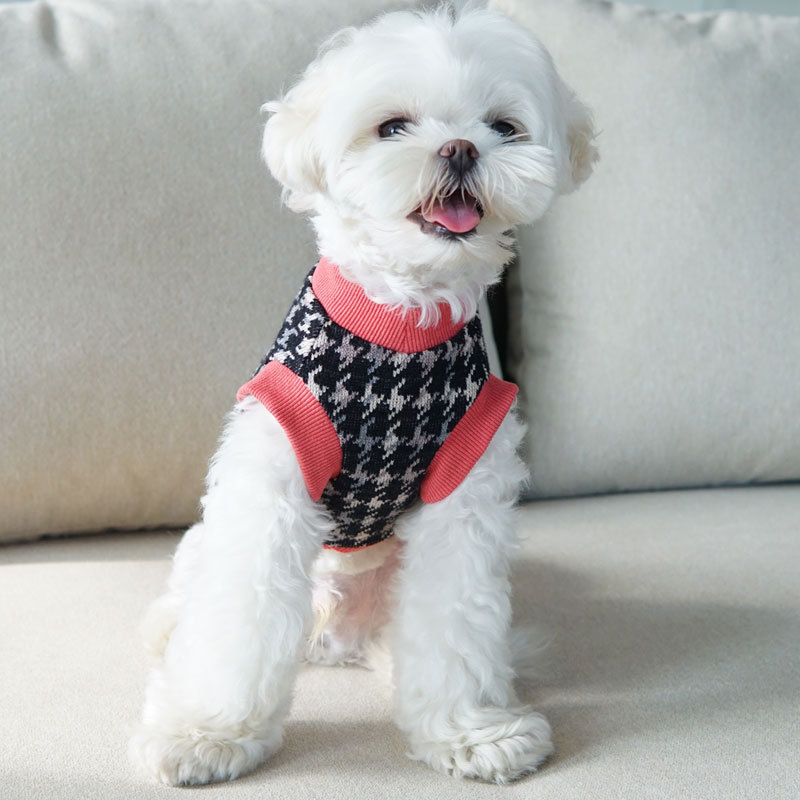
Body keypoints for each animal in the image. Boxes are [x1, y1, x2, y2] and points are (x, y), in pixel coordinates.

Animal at [130, 4, 596, 786]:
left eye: (503, 126)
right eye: (393, 127)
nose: (461, 148)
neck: (399, 326)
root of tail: (333, 633)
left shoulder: (463, 490)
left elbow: (454, 611)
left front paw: (469, 732)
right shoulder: (274, 470)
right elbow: (241, 610)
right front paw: (208, 733)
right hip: (210, 555)